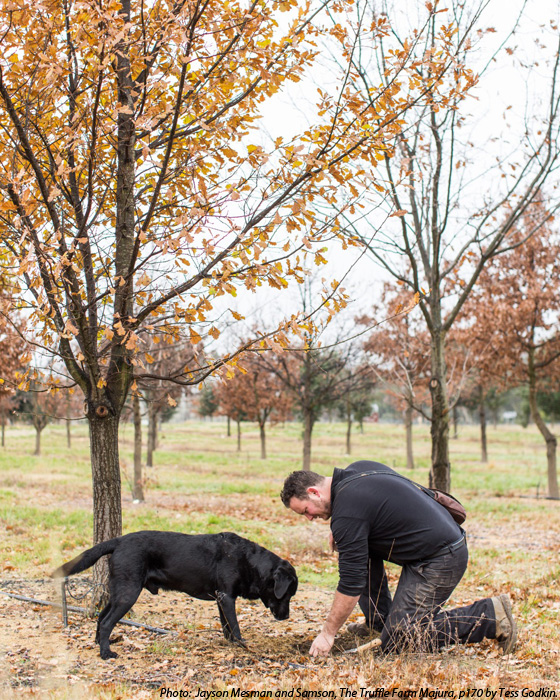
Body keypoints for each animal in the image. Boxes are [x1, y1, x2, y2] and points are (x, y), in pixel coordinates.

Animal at [52, 532, 298, 660]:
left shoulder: (222, 599)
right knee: (106, 622)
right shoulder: (227, 597)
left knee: (101, 617)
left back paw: (99, 643)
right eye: (287, 594)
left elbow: (226, 625)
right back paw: (105, 653)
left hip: (118, 591)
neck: (249, 561)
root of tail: (119, 540)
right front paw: (242, 646)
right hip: (128, 593)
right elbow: (235, 626)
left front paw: (230, 644)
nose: (286, 617)